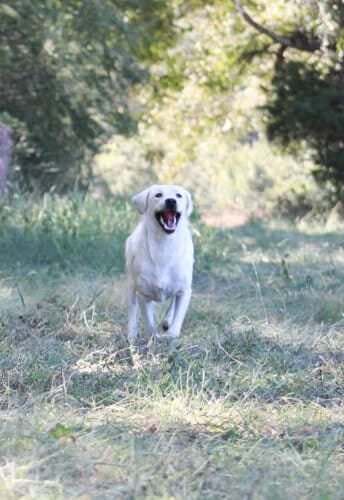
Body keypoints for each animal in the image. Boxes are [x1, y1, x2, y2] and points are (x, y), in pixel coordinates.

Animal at [125, 186, 194, 342]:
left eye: (179, 195)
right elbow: (148, 321)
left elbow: (178, 316)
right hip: (131, 284)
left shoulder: (184, 290)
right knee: (132, 309)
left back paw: (167, 320)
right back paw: (132, 333)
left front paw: (171, 335)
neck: (164, 244)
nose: (171, 201)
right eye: (158, 195)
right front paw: (153, 336)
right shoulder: (143, 293)